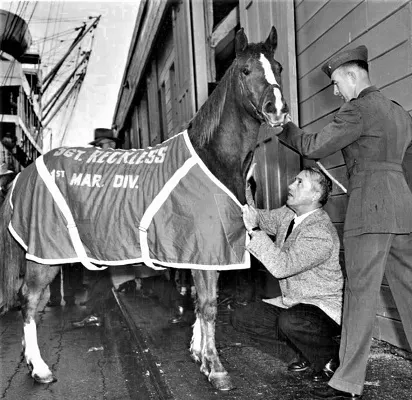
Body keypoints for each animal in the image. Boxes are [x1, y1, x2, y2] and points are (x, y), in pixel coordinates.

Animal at [0, 26, 288, 392]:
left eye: (278, 67)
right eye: (245, 70)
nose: (277, 109)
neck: (212, 158)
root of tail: (22, 173)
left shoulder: (202, 253)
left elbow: (199, 302)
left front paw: (199, 354)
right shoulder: (206, 248)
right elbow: (209, 306)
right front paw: (216, 368)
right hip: (44, 256)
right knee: (30, 301)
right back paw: (39, 368)